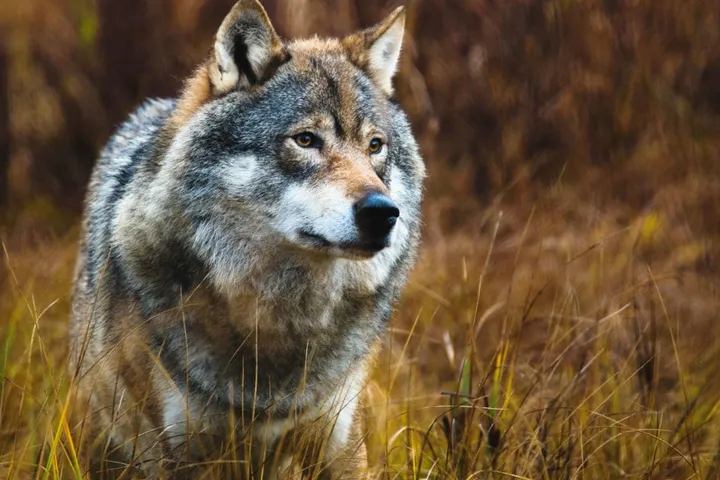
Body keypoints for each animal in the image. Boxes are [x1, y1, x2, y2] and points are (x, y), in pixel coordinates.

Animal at [68, 1, 425, 478]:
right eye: (306, 140)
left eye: (374, 146)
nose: (383, 212)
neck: (278, 319)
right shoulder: (168, 452)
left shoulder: (341, 444)